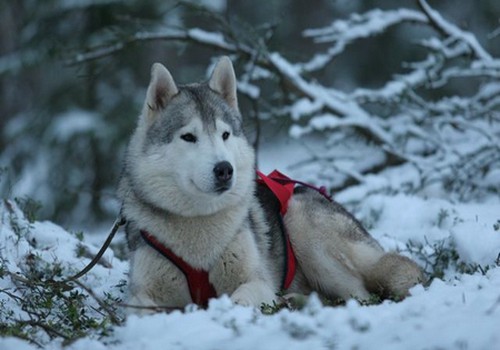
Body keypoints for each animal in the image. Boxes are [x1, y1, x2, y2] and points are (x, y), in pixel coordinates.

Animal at [118, 57, 422, 312]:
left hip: (305, 229)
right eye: (189, 137)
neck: (199, 225)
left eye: (225, 134)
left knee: (360, 296)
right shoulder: (142, 296)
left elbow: (241, 297)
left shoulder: (257, 280)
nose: (224, 170)